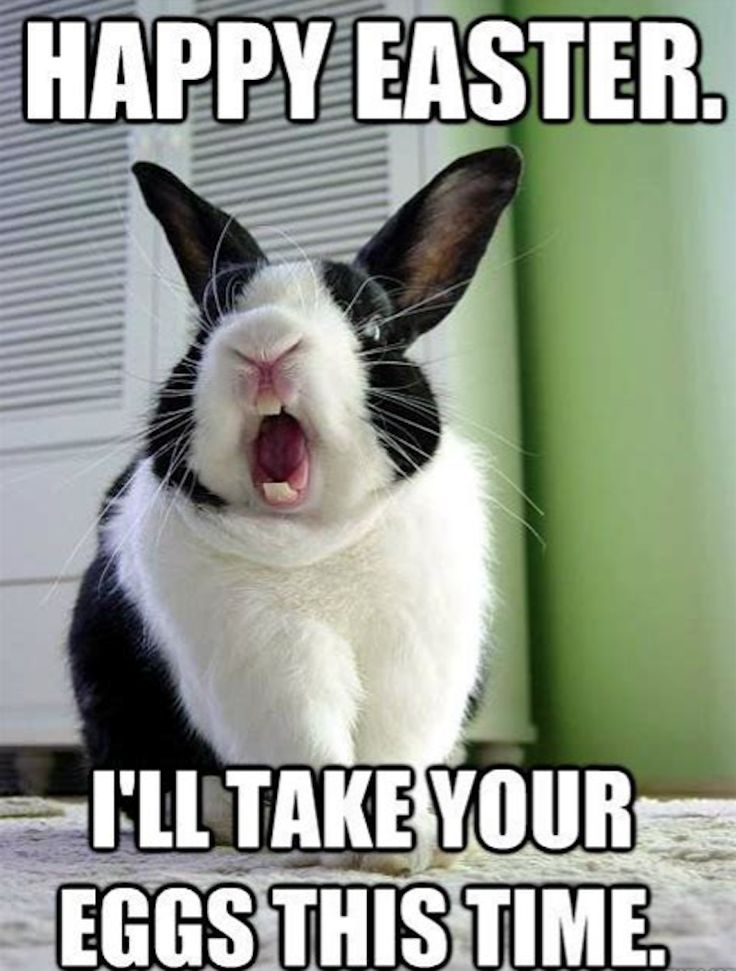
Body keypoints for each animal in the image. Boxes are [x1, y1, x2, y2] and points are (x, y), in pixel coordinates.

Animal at [67, 144, 516, 872]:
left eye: (372, 326)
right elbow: (309, 744)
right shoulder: (269, 664)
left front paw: (407, 848)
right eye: (208, 328)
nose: (265, 343)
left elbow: (397, 748)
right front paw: (351, 845)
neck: (314, 537)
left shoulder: (415, 661)